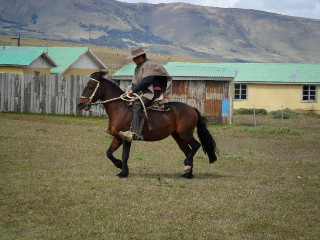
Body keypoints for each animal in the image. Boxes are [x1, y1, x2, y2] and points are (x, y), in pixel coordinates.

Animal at [78, 71, 218, 178]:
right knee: (188, 150)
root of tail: (192, 109)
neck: (120, 108)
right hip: (178, 137)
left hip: (185, 134)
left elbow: (125, 155)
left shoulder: (127, 138)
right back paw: (188, 173)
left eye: (91, 87)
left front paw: (123, 172)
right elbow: (109, 153)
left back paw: (187, 166)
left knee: (196, 145)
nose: (80, 104)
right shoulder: (118, 137)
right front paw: (120, 167)